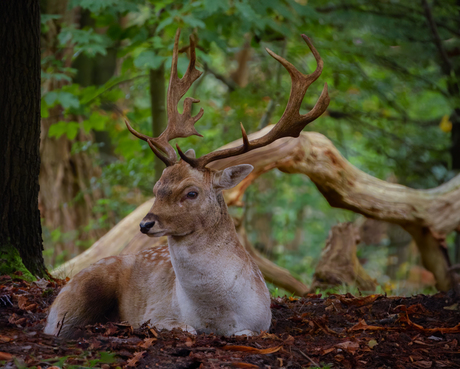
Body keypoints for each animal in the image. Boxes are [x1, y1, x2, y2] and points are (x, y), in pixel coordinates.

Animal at [43, 30, 328, 338]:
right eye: (156, 188)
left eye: (191, 193)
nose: (145, 223)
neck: (215, 316)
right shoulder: (157, 314)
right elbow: (185, 329)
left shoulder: (262, 323)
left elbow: (245, 333)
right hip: (80, 287)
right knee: (56, 323)